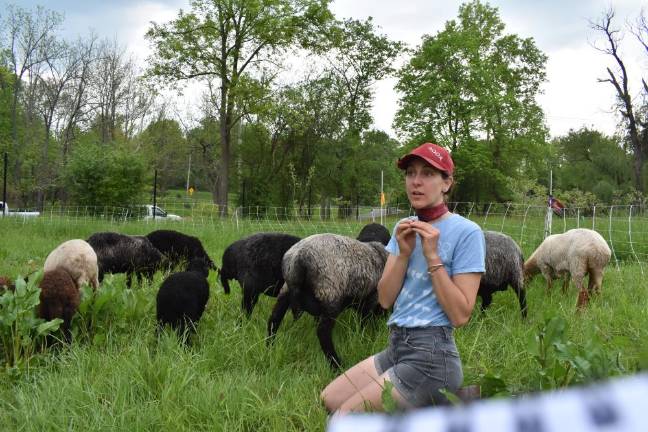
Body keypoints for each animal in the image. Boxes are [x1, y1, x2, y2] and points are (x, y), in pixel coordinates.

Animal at [268, 235, 388, 370]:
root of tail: (297, 259)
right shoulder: (372, 297)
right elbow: (365, 319)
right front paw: (367, 336)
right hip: (330, 294)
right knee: (323, 332)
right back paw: (336, 364)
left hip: (285, 293)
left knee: (274, 320)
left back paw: (269, 347)